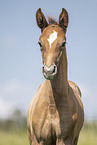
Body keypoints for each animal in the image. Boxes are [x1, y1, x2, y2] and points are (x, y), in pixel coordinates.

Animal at [26, 8, 83, 145]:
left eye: (63, 43)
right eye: (39, 43)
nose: (49, 71)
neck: (52, 106)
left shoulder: (64, 139)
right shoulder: (39, 140)